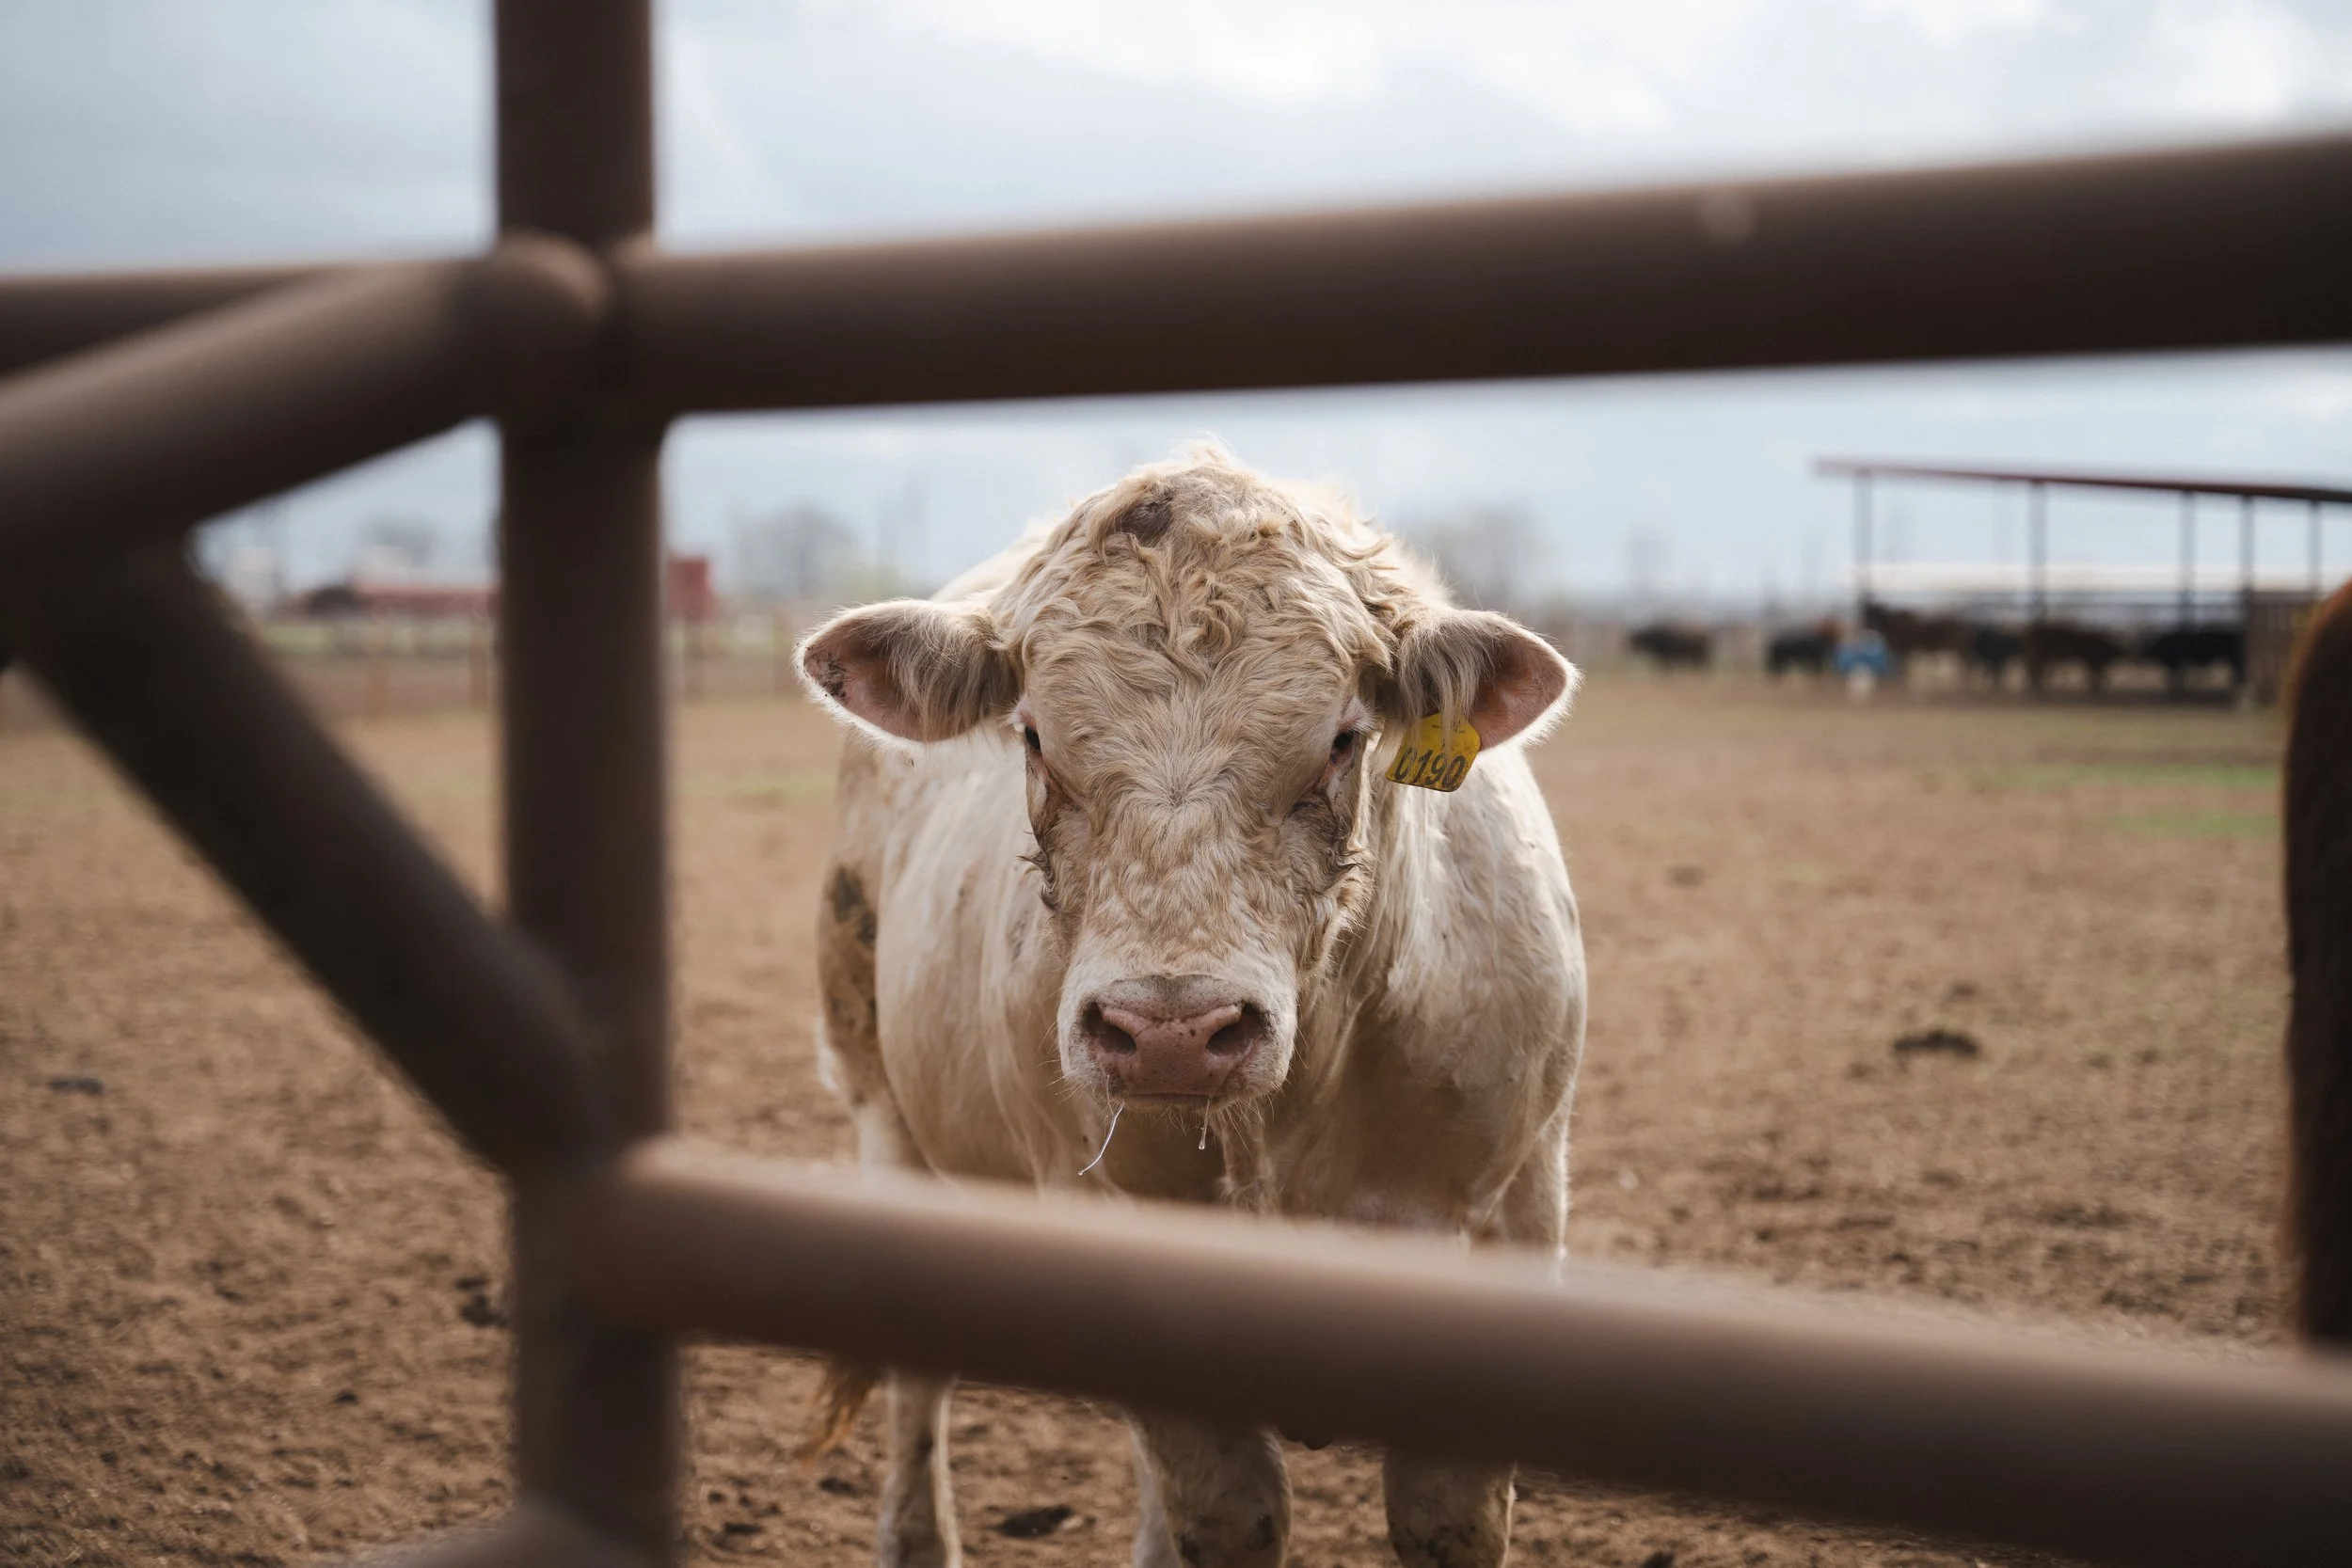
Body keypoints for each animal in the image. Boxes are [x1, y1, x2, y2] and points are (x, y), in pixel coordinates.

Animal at [795, 447, 1586, 1568]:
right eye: (1033, 736)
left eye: (1342, 739)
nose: (1170, 1033)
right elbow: (1231, 1509)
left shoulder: (1509, 1214)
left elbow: (1447, 1518)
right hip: (881, 1103)